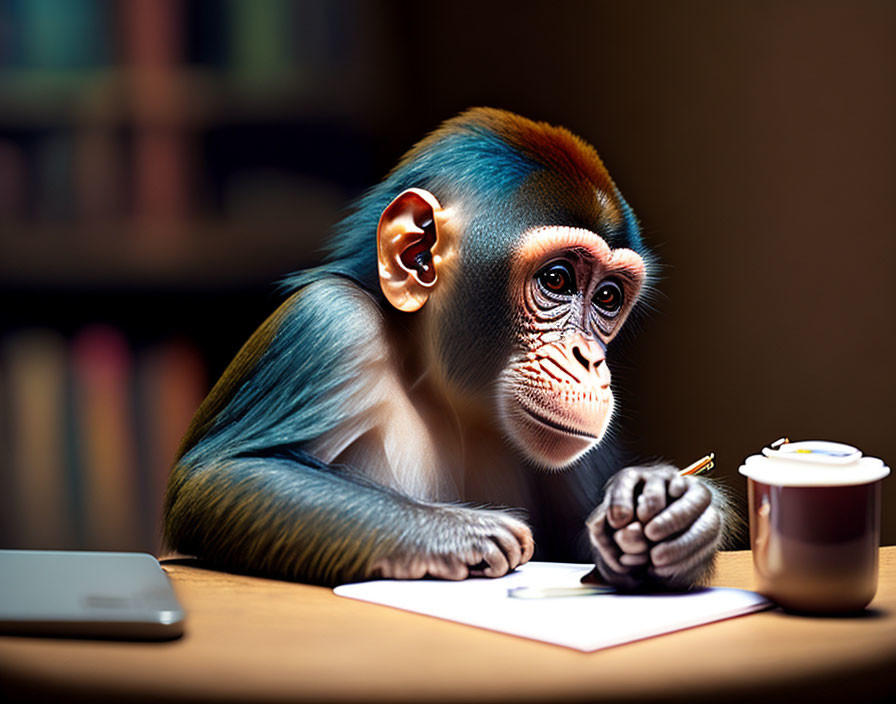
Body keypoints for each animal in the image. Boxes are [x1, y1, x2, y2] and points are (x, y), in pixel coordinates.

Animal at [164, 108, 727, 590]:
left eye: (608, 297)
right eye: (557, 279)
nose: (589, 358)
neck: (436, 383)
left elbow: (583, 532)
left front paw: (673, 510)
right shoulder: (328, 324)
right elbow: (224, 476)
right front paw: (454, 533)